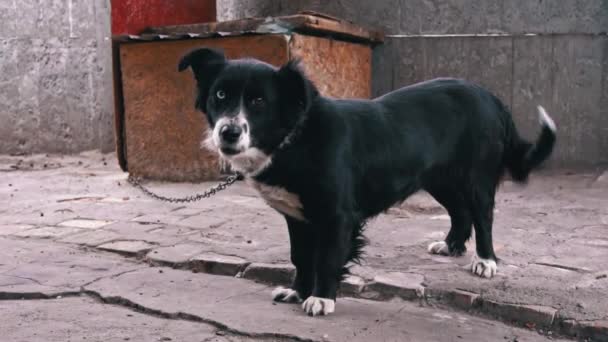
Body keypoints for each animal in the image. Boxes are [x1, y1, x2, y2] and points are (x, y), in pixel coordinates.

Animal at [177, 47, 556, 316]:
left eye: (258, 101)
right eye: (220, 95)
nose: (227, 132)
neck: (295, 137)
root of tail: (491, 97)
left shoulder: (338, 216)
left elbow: (327, 258)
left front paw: (321, 299)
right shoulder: (296, 217)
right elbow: (300, 257)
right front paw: (298, 291)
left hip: (475, 178)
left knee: (482, 216)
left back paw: (486, 261)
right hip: (438, 178)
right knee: (460, 213)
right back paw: (451, 245)